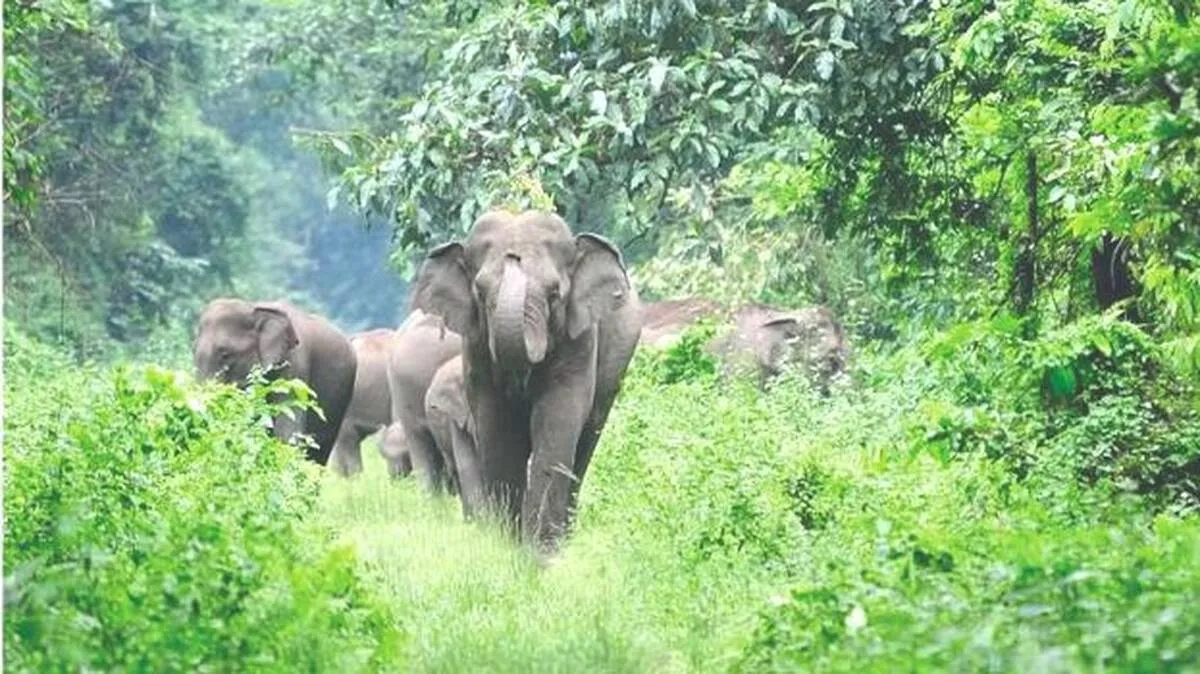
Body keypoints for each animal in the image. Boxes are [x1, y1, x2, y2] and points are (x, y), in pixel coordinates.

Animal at [411, 209, 641, 552]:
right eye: (480, 292)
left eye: (555, 293)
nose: (514, 256)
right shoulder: (475, 347)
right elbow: (497, 425)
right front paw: (508, 545)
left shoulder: (580, 338)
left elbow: (557, 419)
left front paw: (541, 552)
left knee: (585, 444)